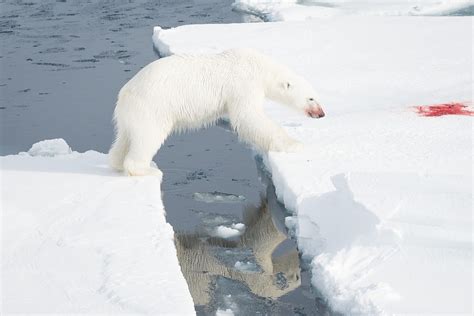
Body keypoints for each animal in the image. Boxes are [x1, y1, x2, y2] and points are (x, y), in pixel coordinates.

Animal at [109, 48, 324, 177]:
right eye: (311, 98)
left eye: (316, 96)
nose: (321, 114)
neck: (259, 67)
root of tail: (124, 93)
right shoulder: (243, 84)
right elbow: (249, 116)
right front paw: (293, 144)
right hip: (153, 107)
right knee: (148, 137)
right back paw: (147, 170)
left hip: (131, 114)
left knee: (125, 137)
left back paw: (117, 162)